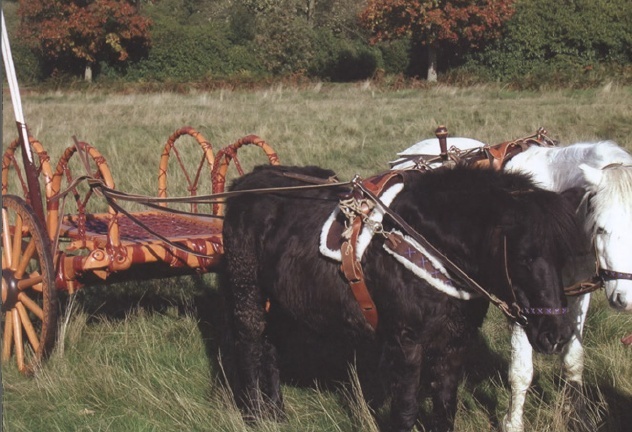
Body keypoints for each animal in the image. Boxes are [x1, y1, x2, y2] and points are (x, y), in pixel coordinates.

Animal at [218, 164, 584, 430]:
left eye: (564, 256)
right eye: (524, 257)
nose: (557, 334)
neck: (426, 240)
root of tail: (245, 183)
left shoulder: (454, 344)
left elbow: (445, 409)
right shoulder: (407, 344)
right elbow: (406, 412)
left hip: (280, 301)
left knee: (270, 345)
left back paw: (276, 412)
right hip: (246, 288)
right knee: (249, 344)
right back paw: (253, 414)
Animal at [390, 137, 632, 430]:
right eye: (601, 228)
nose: (624, 298)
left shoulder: (576, 297)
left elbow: (573, 360)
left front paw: (579, 417)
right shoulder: (520, 302)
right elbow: (521, 372)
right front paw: (513, 423)